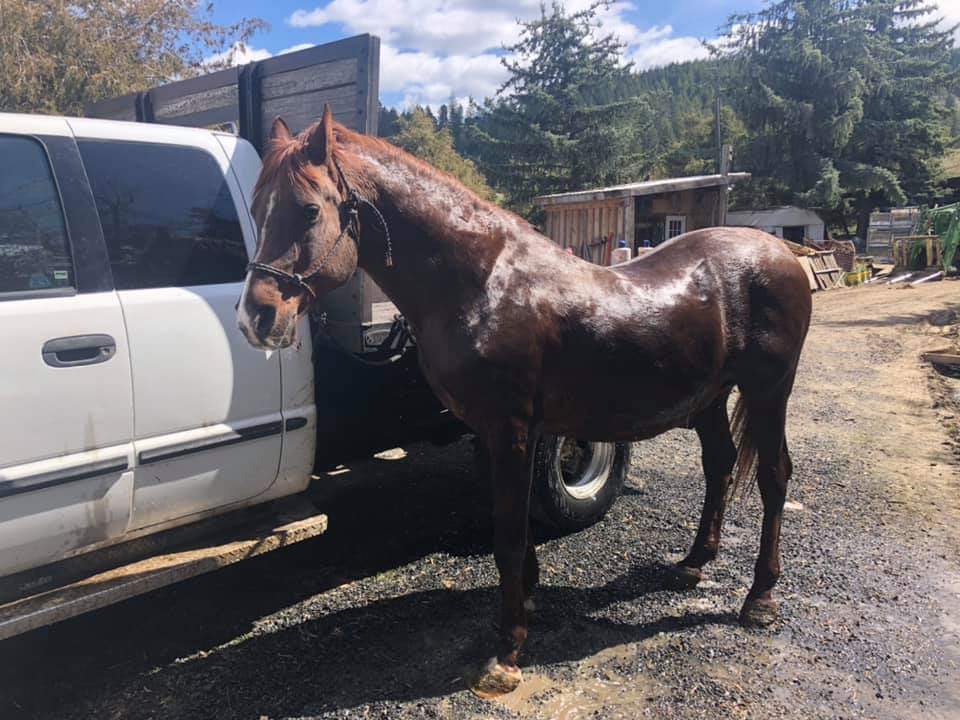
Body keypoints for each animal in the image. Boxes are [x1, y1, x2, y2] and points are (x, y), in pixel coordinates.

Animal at [236, 106, 812, 698]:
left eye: (309, 210)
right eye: (257, 210)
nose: (256, 318)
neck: (482, 285)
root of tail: (781, 253)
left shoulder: (508, 427)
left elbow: (509, 533)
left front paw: (507, 651)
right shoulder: (498, 432)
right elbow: (512, 524)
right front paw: (526, 602)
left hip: (769, 390)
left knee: (773, 477)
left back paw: (760, 599)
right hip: (709, 398)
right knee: (719, 466)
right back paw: (695, 561)